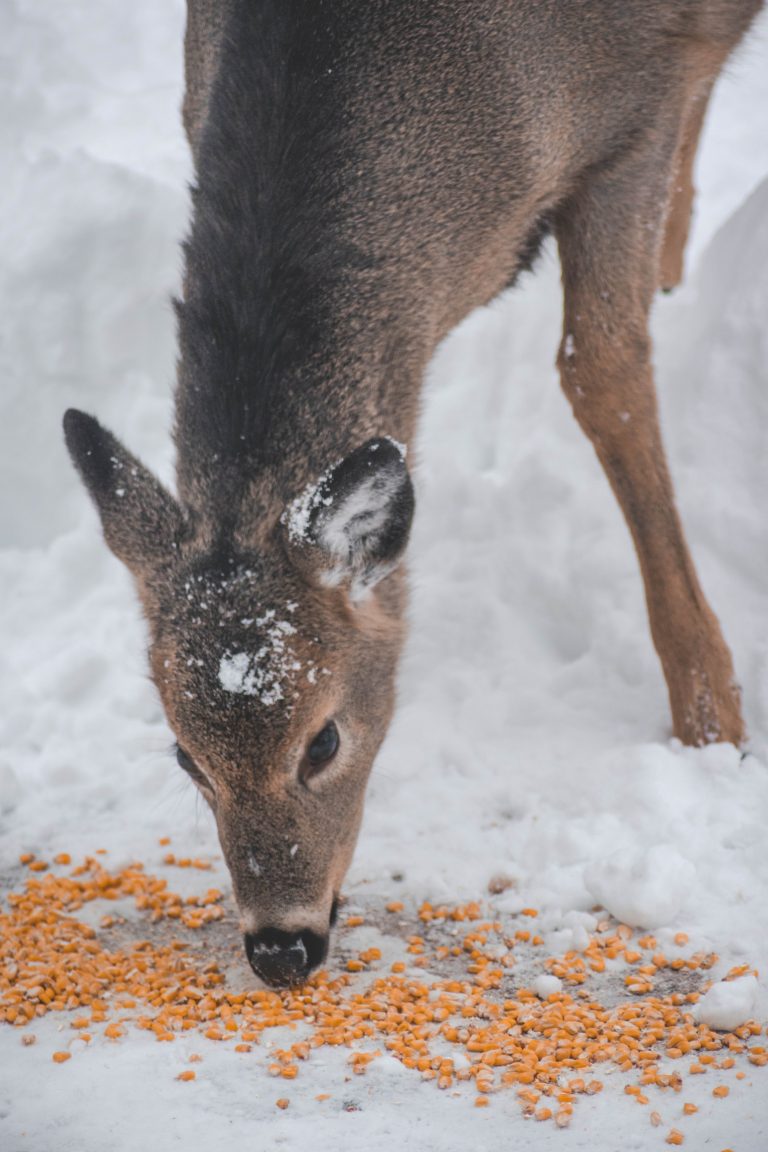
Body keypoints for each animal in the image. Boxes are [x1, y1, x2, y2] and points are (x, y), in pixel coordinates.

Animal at [63, 0, 761, 987]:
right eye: (184, 755)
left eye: (323, 739)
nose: (281, 947)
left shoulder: (638, 114)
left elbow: (602, 369)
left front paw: (713, 728)